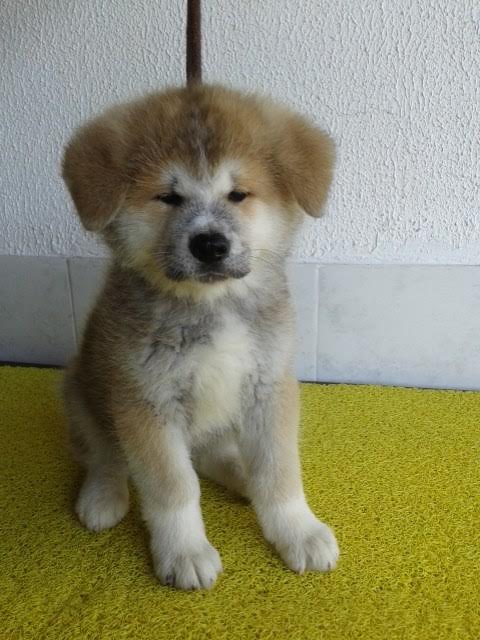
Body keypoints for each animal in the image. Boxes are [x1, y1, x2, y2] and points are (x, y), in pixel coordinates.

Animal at [62, 84, 339, 590]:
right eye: (168, 197)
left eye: (238, 194)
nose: (210, 244)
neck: (211, 306)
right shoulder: (145, 404)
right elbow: (174, 488)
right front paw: (184, 551)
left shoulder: (268, 387)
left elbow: (279, 473)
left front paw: (297, 530)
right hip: (80, 392)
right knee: (105, 455)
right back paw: (103, 496)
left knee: (209, 455)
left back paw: (240, 474)